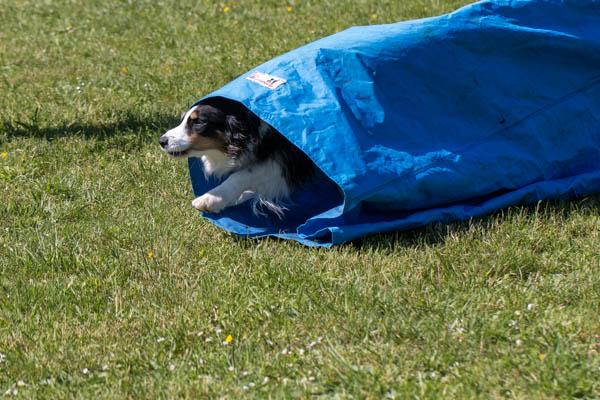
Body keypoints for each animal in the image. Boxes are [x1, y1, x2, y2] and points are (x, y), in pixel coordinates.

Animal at [159, 97, 314, 217]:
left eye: (198, 122)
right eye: (182, 120)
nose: (162, 141)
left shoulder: (285, 162)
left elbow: (241, 175)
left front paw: (210, 199)